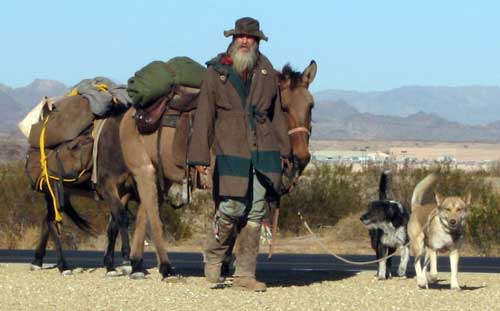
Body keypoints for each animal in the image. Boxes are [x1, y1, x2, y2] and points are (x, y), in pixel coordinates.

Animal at [119, 61, 316, 280]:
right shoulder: (220, 181)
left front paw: (226, 265)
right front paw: (219, 265)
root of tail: (131, 114)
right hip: (143, 170)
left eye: (310, 106)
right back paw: (165, 266)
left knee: (143, 212)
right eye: (284, 107)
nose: (302, 157)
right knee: (153, 214)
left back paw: (137, 264)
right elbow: (226, 217)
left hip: (162, 176)